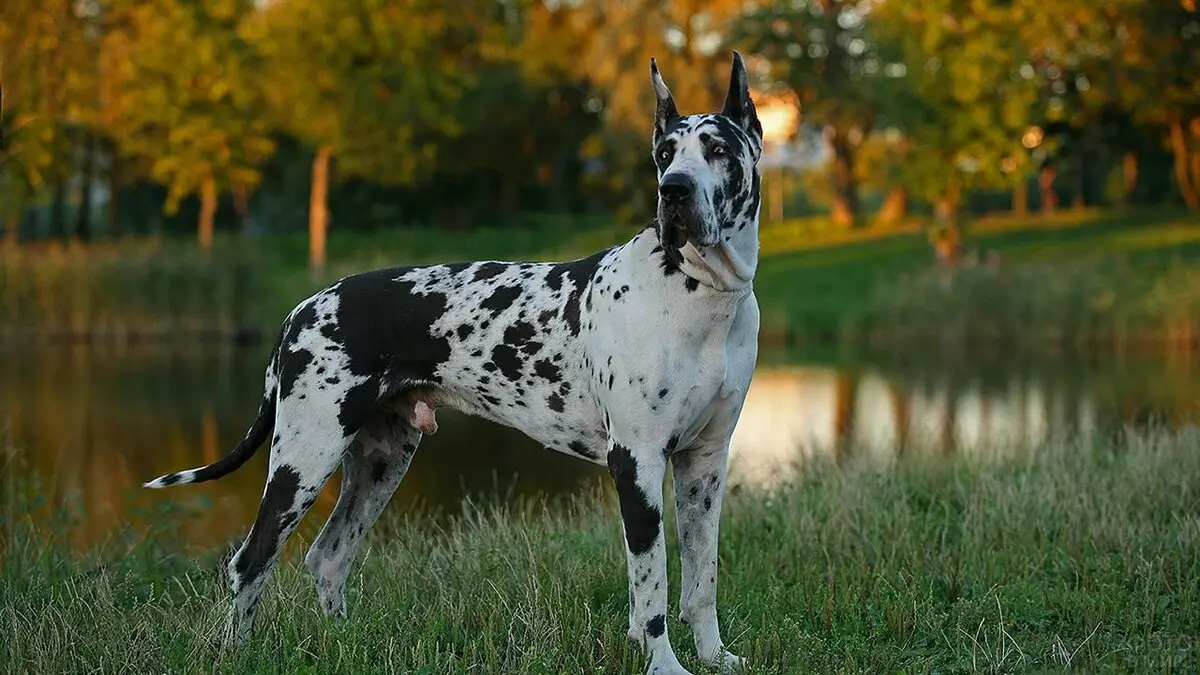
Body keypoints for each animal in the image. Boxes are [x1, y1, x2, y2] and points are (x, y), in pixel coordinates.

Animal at [145, 49, 763, 667]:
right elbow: (651, 589)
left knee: (328, 557)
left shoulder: (704, 465)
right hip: (304, 457)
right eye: (664, 155)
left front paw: (714, 658)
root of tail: (302, 308)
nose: (674, 190)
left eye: (718, 150)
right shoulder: (636, 464)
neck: (699, 294)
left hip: (380, 460)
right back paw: (237, 652)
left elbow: (701, 581)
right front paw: (664, 666)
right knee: (250, 561)